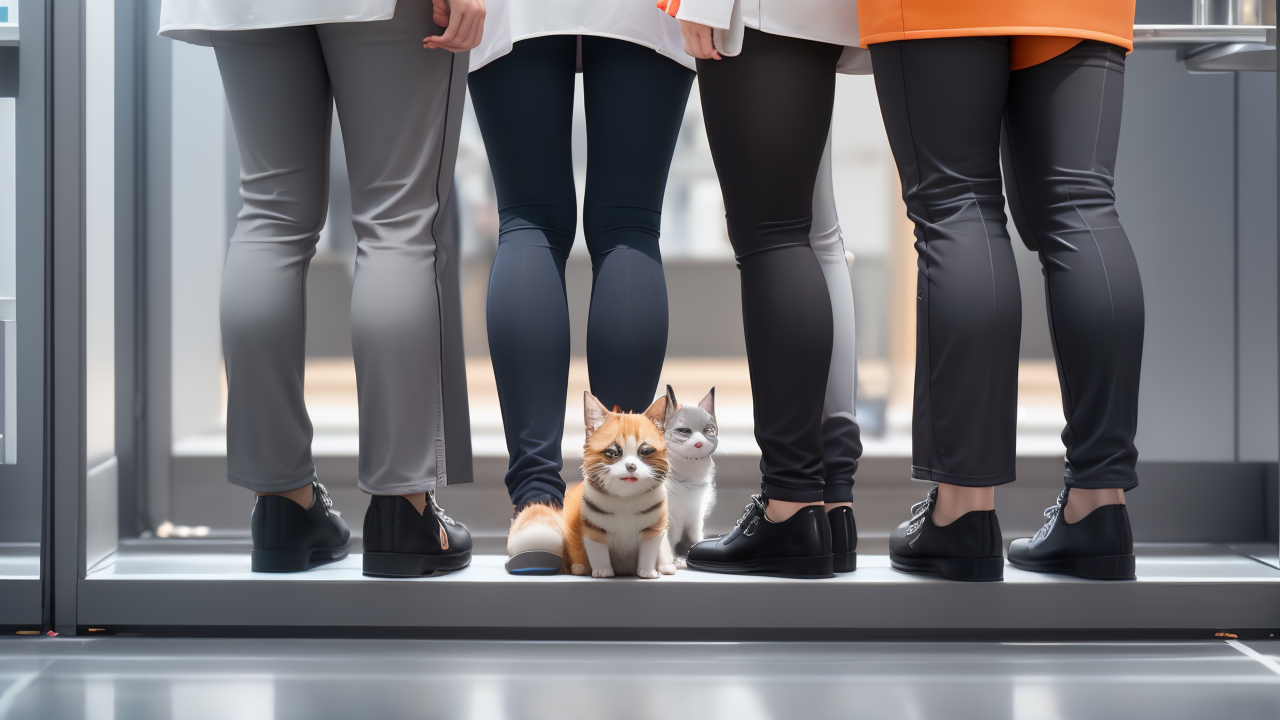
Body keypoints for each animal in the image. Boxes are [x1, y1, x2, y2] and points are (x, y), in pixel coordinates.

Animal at [563, 392, 675, 576]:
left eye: (645, 451)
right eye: (612, 452)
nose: (631, 466)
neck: (625, 501)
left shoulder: (653, 530)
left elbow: (649, 551)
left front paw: (646, 572)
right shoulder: (593, 529)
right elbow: (598, 552)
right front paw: (603, 571)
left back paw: (667, 567)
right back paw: (579, 567)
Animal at [665, 384, 716, 563]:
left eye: (709, 430)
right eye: (685, 431)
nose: (699, 443)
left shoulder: (696, 513)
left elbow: (695, 537)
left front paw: (694, 548)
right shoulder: (669, 518)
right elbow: (666, 542)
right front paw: (674, 560)